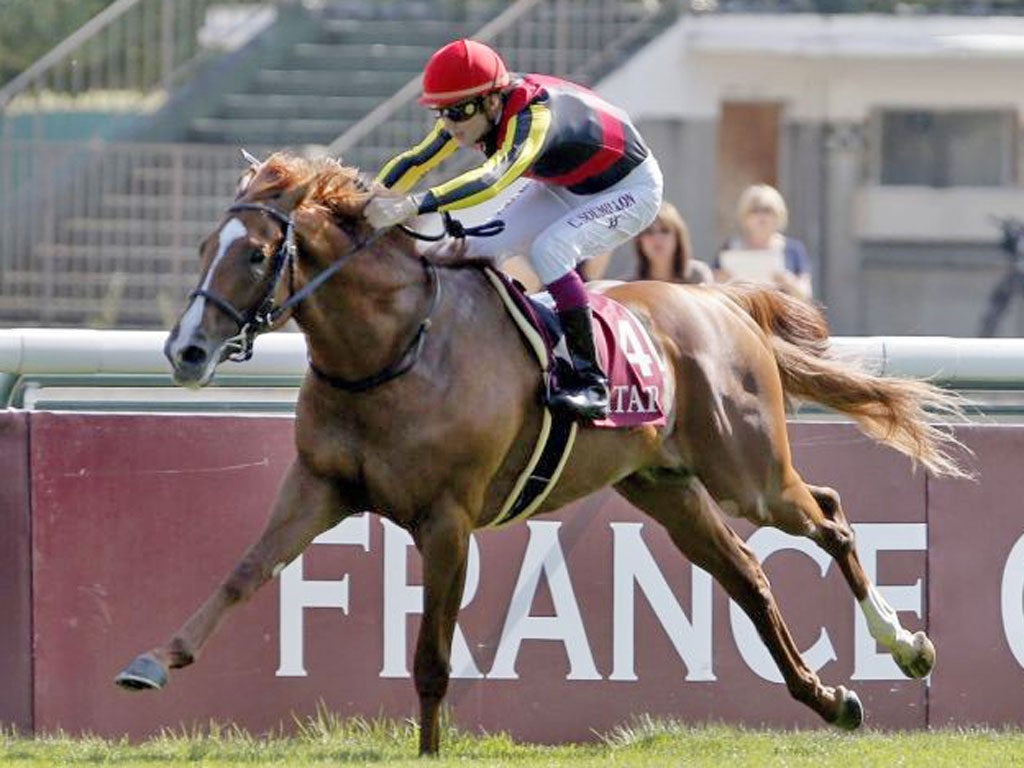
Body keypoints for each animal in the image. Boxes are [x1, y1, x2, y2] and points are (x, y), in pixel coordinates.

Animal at [114, 151, 966, 757]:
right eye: (204, 246)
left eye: (256, 256)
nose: (185, 351)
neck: (391, 350)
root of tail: (723, 301)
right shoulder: (321, 483)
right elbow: (244, 573)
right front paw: (153, 660)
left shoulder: (447, 519)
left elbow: (432, 659)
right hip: (667, 487)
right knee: (751, 578)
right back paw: (832, 700)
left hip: (747, 473)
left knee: (831, 518)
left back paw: (908, 647)